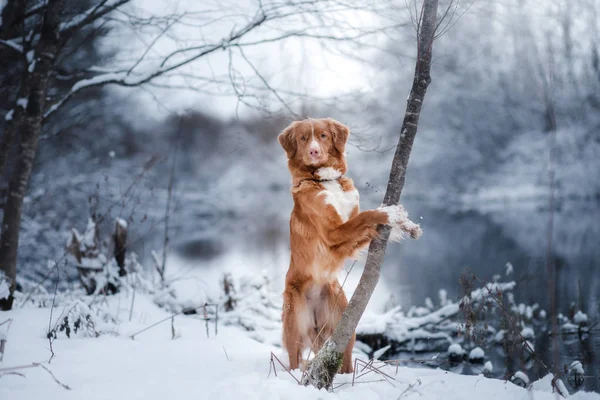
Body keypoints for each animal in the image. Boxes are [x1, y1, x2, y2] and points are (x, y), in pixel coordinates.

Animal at [278, 118, 422, 372]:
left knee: (342, 360)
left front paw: (409, 225)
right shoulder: (333, 233)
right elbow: (367, 215)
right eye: (304, 138)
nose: (314, 151)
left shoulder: (353, 236)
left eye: (323, 135)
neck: (325, 180)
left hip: (343, 325)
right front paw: (390, 213)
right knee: (294, 360)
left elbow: (367, 219)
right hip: (294, 325)